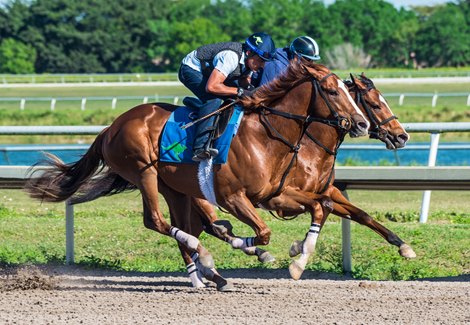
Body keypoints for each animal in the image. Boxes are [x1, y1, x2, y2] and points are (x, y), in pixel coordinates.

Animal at [26, 62, 370, 290]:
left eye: (349, 91)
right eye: (331, 90)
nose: (362, 123)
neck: (267, 136)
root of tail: (111, 127)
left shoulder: (274, 193)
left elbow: (320, 206)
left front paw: (297, 260)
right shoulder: (233, 197)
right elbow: (263, 232)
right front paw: (254, 248)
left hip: (174, 187)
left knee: (179, 224)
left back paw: (202, 276)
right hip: (143, 171)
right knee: (158, 221)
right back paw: (203, 259)